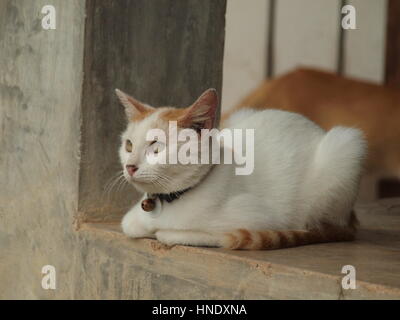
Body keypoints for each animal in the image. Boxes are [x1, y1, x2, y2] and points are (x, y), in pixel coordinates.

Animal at [115, 88, 366, 250]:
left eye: (156, 147)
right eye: (129, 145)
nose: (130, 166)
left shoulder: (261, 218)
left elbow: (202, 235)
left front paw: (171, 233)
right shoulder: (133, 221)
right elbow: (130, 225)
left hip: (345, 146)